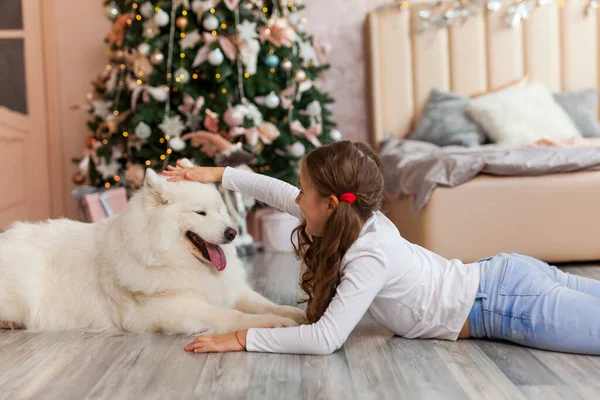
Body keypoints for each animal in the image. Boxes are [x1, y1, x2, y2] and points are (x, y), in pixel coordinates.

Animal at [0, 166, 304, 334]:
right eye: (200, 213)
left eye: (219, 210)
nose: (232, 233)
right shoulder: (176, 307)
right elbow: (234, 316)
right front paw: (273, 323)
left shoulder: (231, 290)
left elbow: (264, 303)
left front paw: (295, 313)